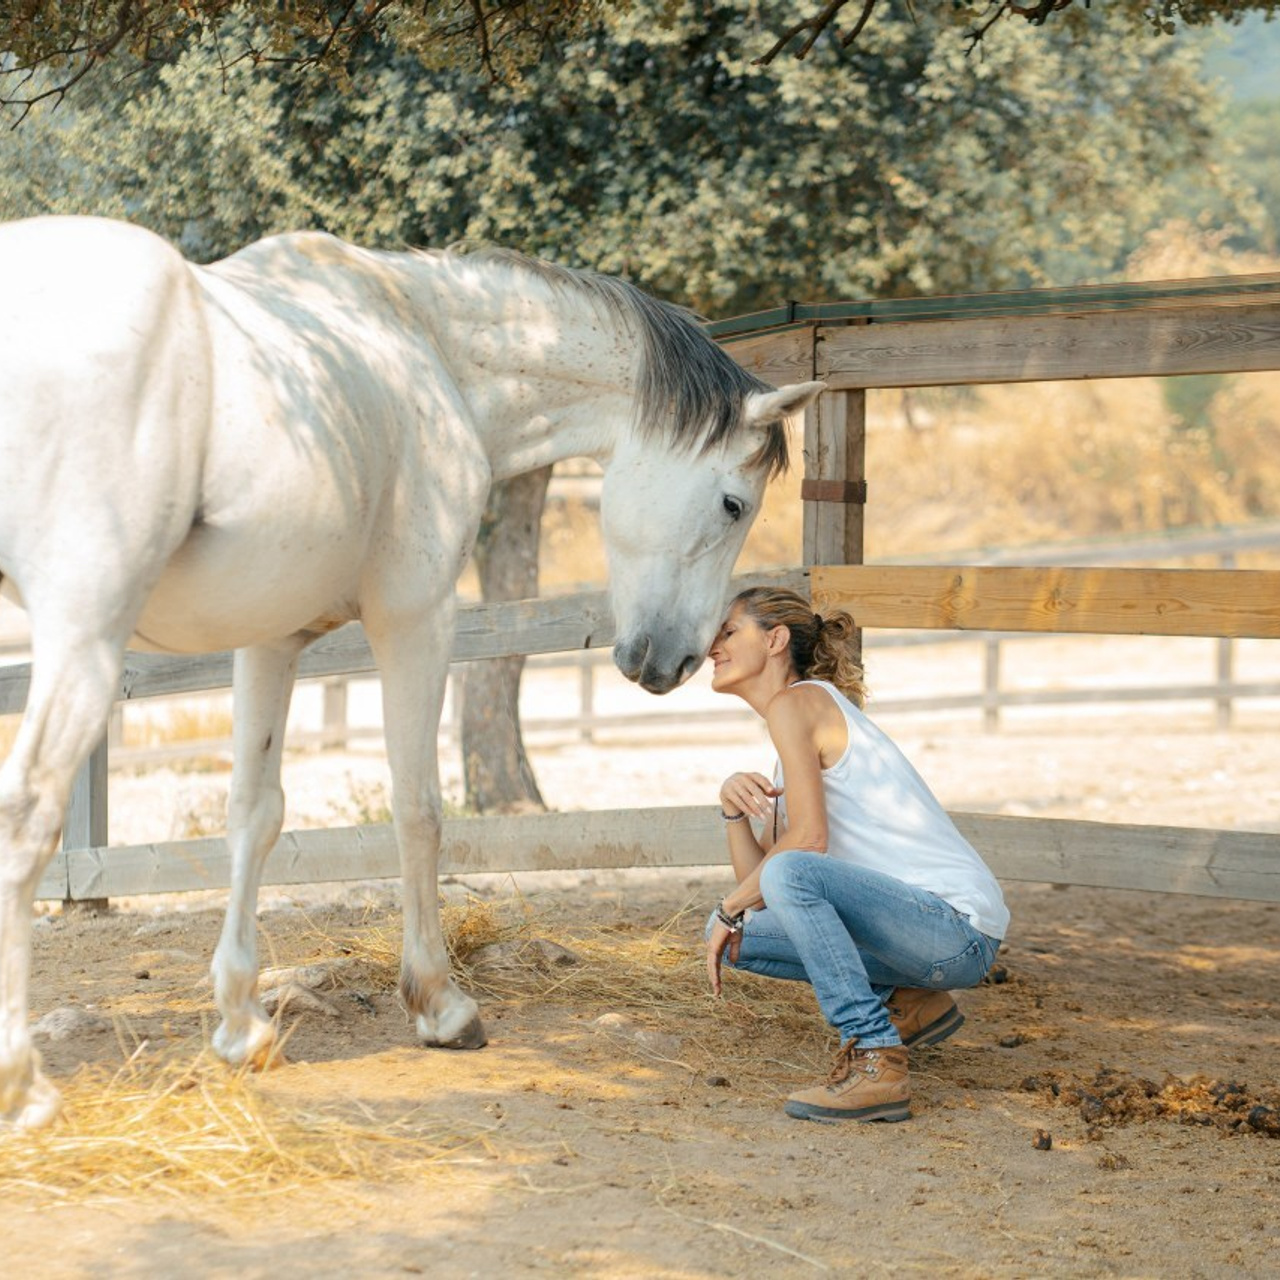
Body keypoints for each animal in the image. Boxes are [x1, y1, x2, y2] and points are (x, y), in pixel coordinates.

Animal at [0, 215, 823, 1127]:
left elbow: (254, 813)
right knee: (24, 817)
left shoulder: (270, 640)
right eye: (733, 504)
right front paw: (439, 1003)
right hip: (84, 640)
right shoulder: (416, 620)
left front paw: (243, 1025)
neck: (424, 342)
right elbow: (419, 808)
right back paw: (23, 1084)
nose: (672, 660)